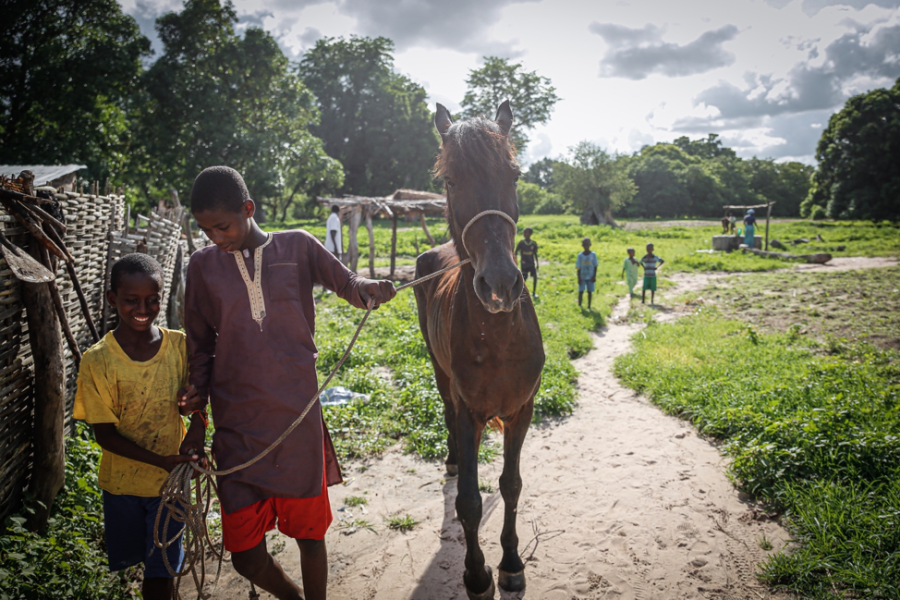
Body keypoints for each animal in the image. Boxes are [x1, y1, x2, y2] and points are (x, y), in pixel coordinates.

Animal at [414, 101, 544, 596]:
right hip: (438, 371)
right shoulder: (471, 410)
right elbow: (469, 502)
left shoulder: (522, 410)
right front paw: (476, 573)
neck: (500, 338)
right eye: (451, 181)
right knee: (448, 414)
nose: (501, 283)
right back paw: (453, 459)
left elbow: (511, 485)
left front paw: (510, 562)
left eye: (514, 174)